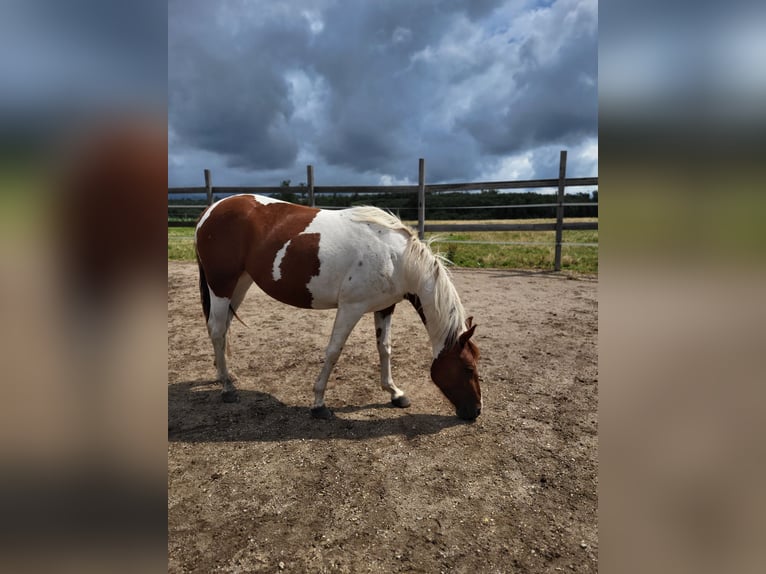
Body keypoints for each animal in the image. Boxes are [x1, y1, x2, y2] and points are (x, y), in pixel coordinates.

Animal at [194, 194, 482, 420]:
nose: (476, 411)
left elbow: (385, 349)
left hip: (240, 283)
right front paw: (319, 403)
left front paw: (395, 393)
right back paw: (227, 388)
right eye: (468, 368)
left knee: (223, 328)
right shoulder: (350, 308)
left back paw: (224, 374)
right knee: (217, 329)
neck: (396, 258)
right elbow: (333, 351)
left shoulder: (386, 307)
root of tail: (211, 210)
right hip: (221, 284)